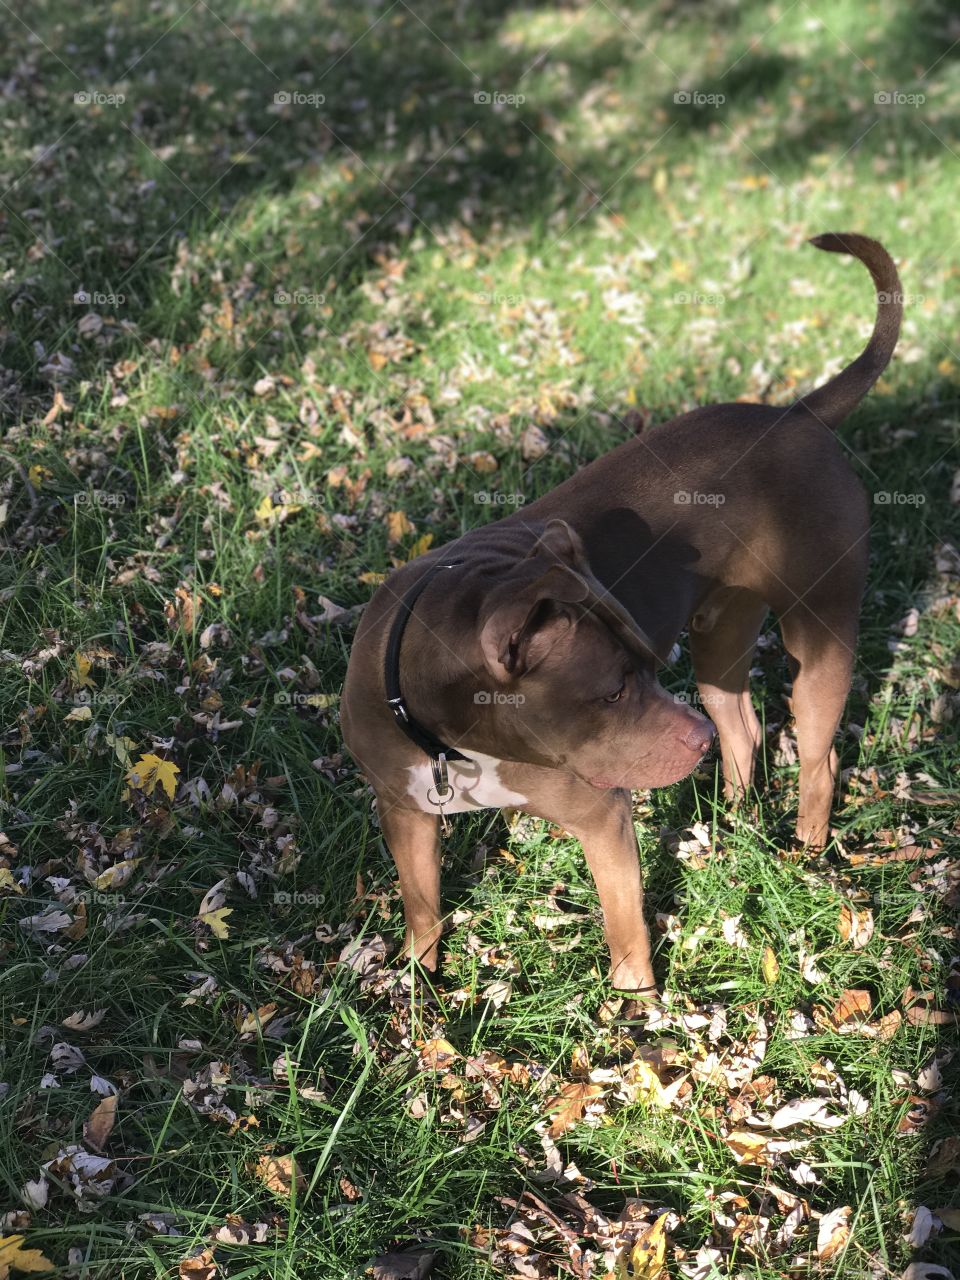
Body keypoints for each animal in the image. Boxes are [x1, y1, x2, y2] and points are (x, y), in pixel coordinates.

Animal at [343, 235, 906, 993]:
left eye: (643, 665)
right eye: (611, 690)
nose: (693, 741)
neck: (453, 738)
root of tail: (796, 415)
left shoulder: (600, 815)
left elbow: (624, 924)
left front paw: (636, 1005)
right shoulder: (405, 813)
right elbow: (423, 906)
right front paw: (419, 990)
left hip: (818, 634)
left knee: (818, 755)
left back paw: (806, 851)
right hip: (721, 636)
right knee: (742, 723)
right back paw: (733, 822)